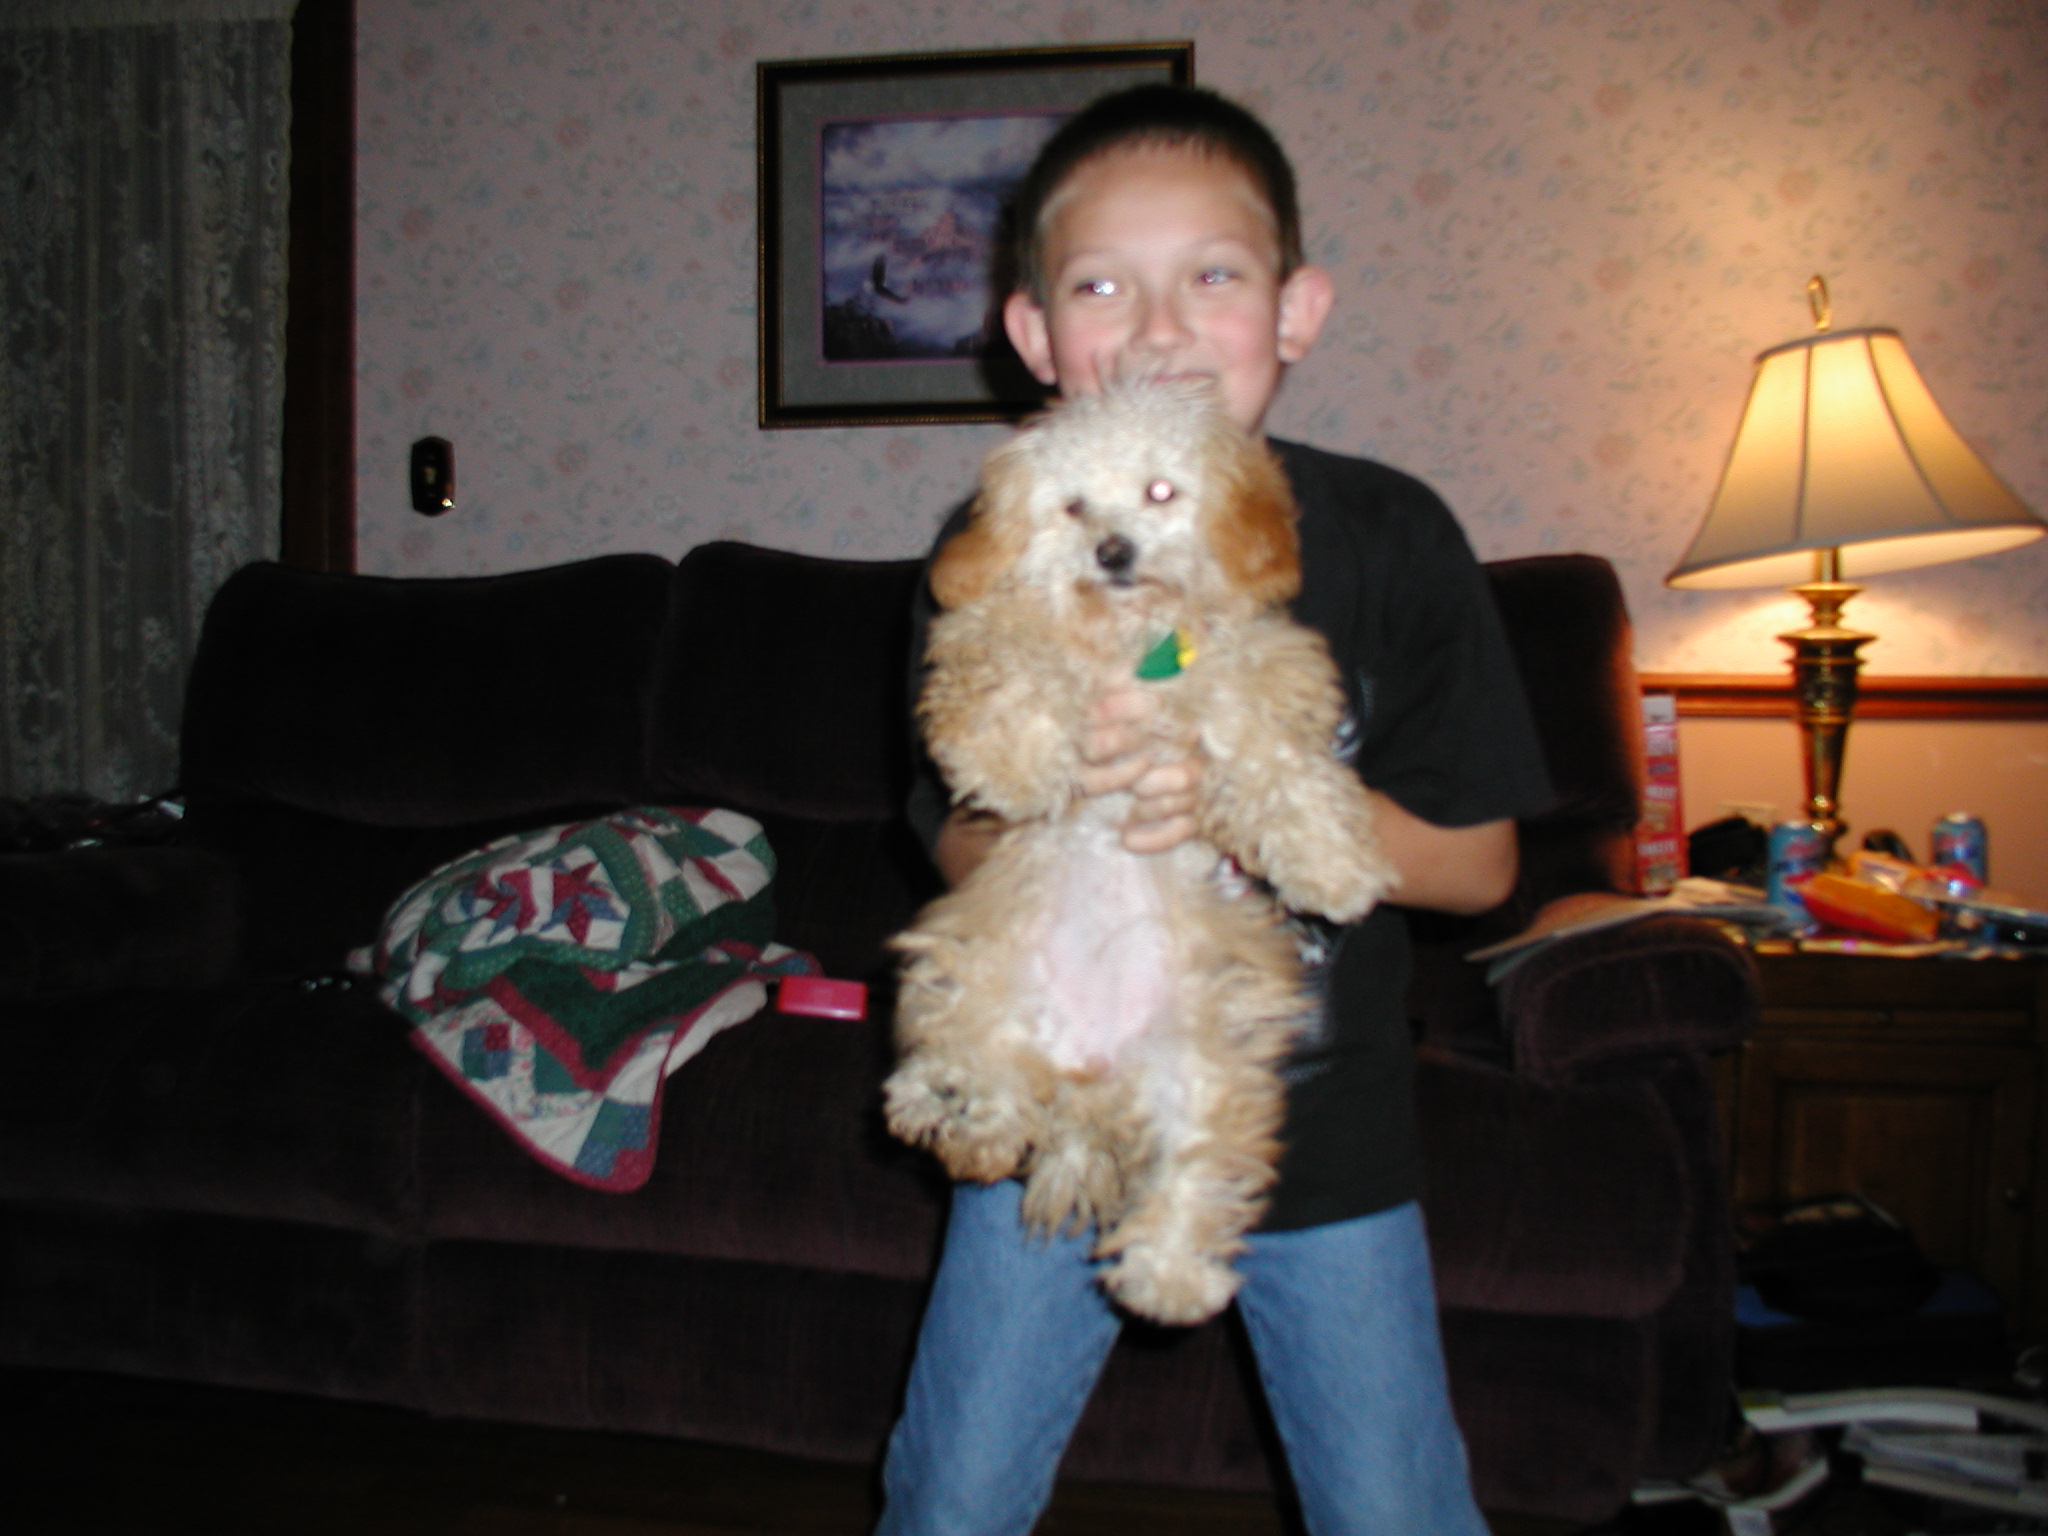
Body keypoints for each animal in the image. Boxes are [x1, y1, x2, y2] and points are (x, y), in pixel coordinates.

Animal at [884, 380, 1395, 1325]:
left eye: (1161, 490)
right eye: (1073, 504)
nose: (1112, 550)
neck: (1128, 641)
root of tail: (1089, 1076)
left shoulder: (1252, 672)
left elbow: (1274, 757)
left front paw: (1331, 863)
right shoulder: (991, 636)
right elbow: (1017, 657)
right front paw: (1016, 755)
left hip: (1207, 1066)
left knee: (1197, 1172)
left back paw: (1170, 1277)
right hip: (983, 967)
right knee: (980, 1066)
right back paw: (954, 1102)